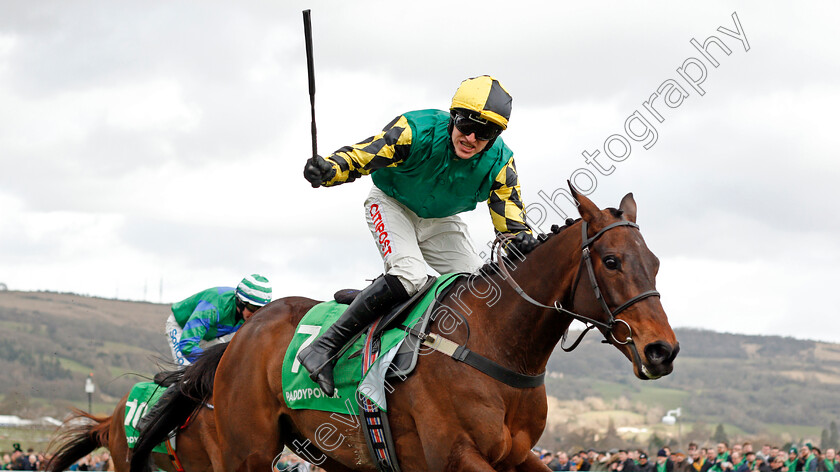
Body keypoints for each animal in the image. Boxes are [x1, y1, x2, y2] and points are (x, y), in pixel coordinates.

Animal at [135, 185, 680, 472]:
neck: (495, 345)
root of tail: (242, 338)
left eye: (654, 263)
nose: (662, 351)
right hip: (246, 450)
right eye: (611, 261)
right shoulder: (456, 456)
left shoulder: (519, 454)